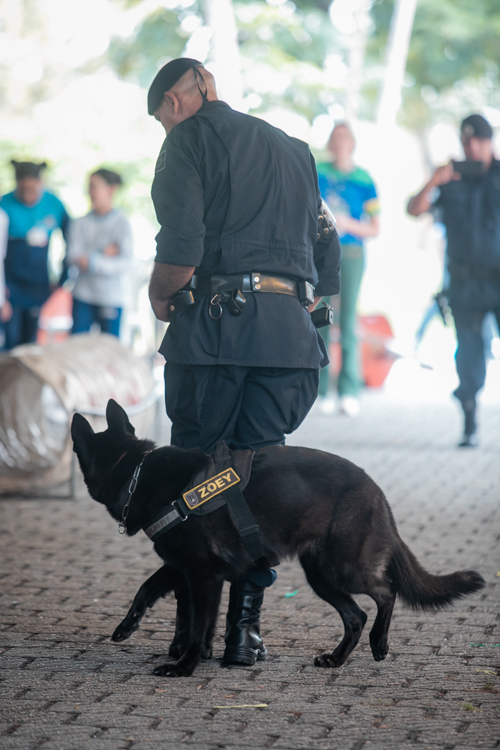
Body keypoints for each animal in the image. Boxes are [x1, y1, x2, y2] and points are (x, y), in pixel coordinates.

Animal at [71, 399, 485, 678]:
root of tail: (376, 489)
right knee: (356, 615)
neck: (136, 471)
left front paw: (185, 665)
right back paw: (336, 659)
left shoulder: (204, 575)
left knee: (386, 593)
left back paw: (379, 644)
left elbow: (200, 624)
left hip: (342, 568)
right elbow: (148, 588)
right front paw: (128, 627)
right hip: (320, 576)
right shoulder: (182, 567)